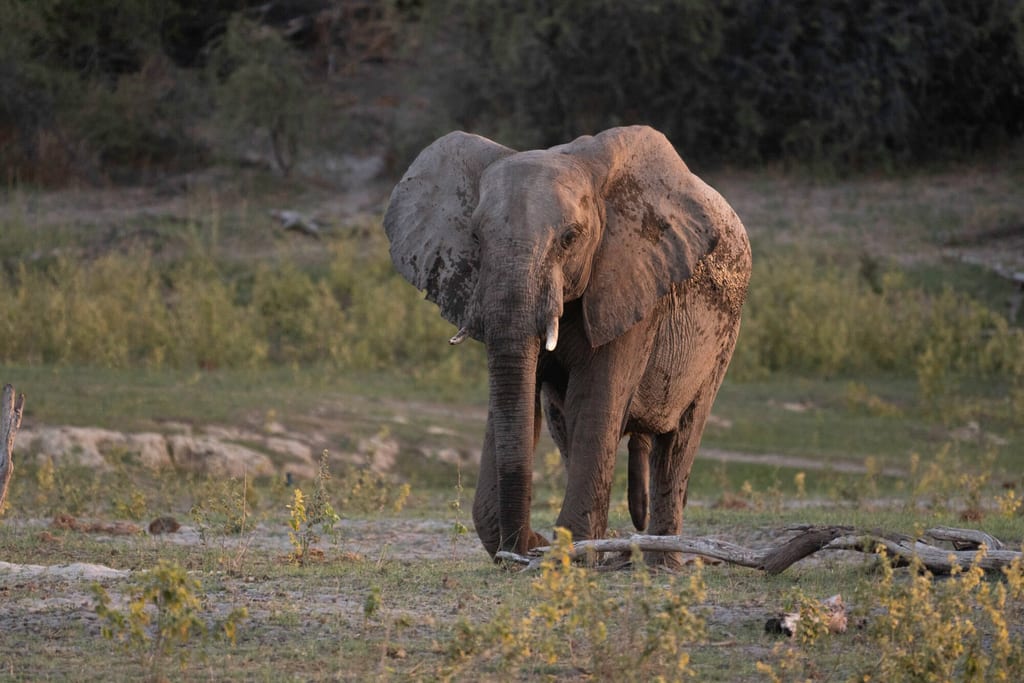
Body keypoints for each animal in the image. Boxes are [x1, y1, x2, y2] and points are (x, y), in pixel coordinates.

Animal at [383, 125, 751, 567]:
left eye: (569, 238)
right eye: (475, 238)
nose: (526, 546)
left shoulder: (632, 281)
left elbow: (594, 400)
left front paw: (569, 554)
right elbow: (523, 402)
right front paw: (562, 548)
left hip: (724, 335)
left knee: (679, 441)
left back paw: (658, 562)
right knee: (564, 426)